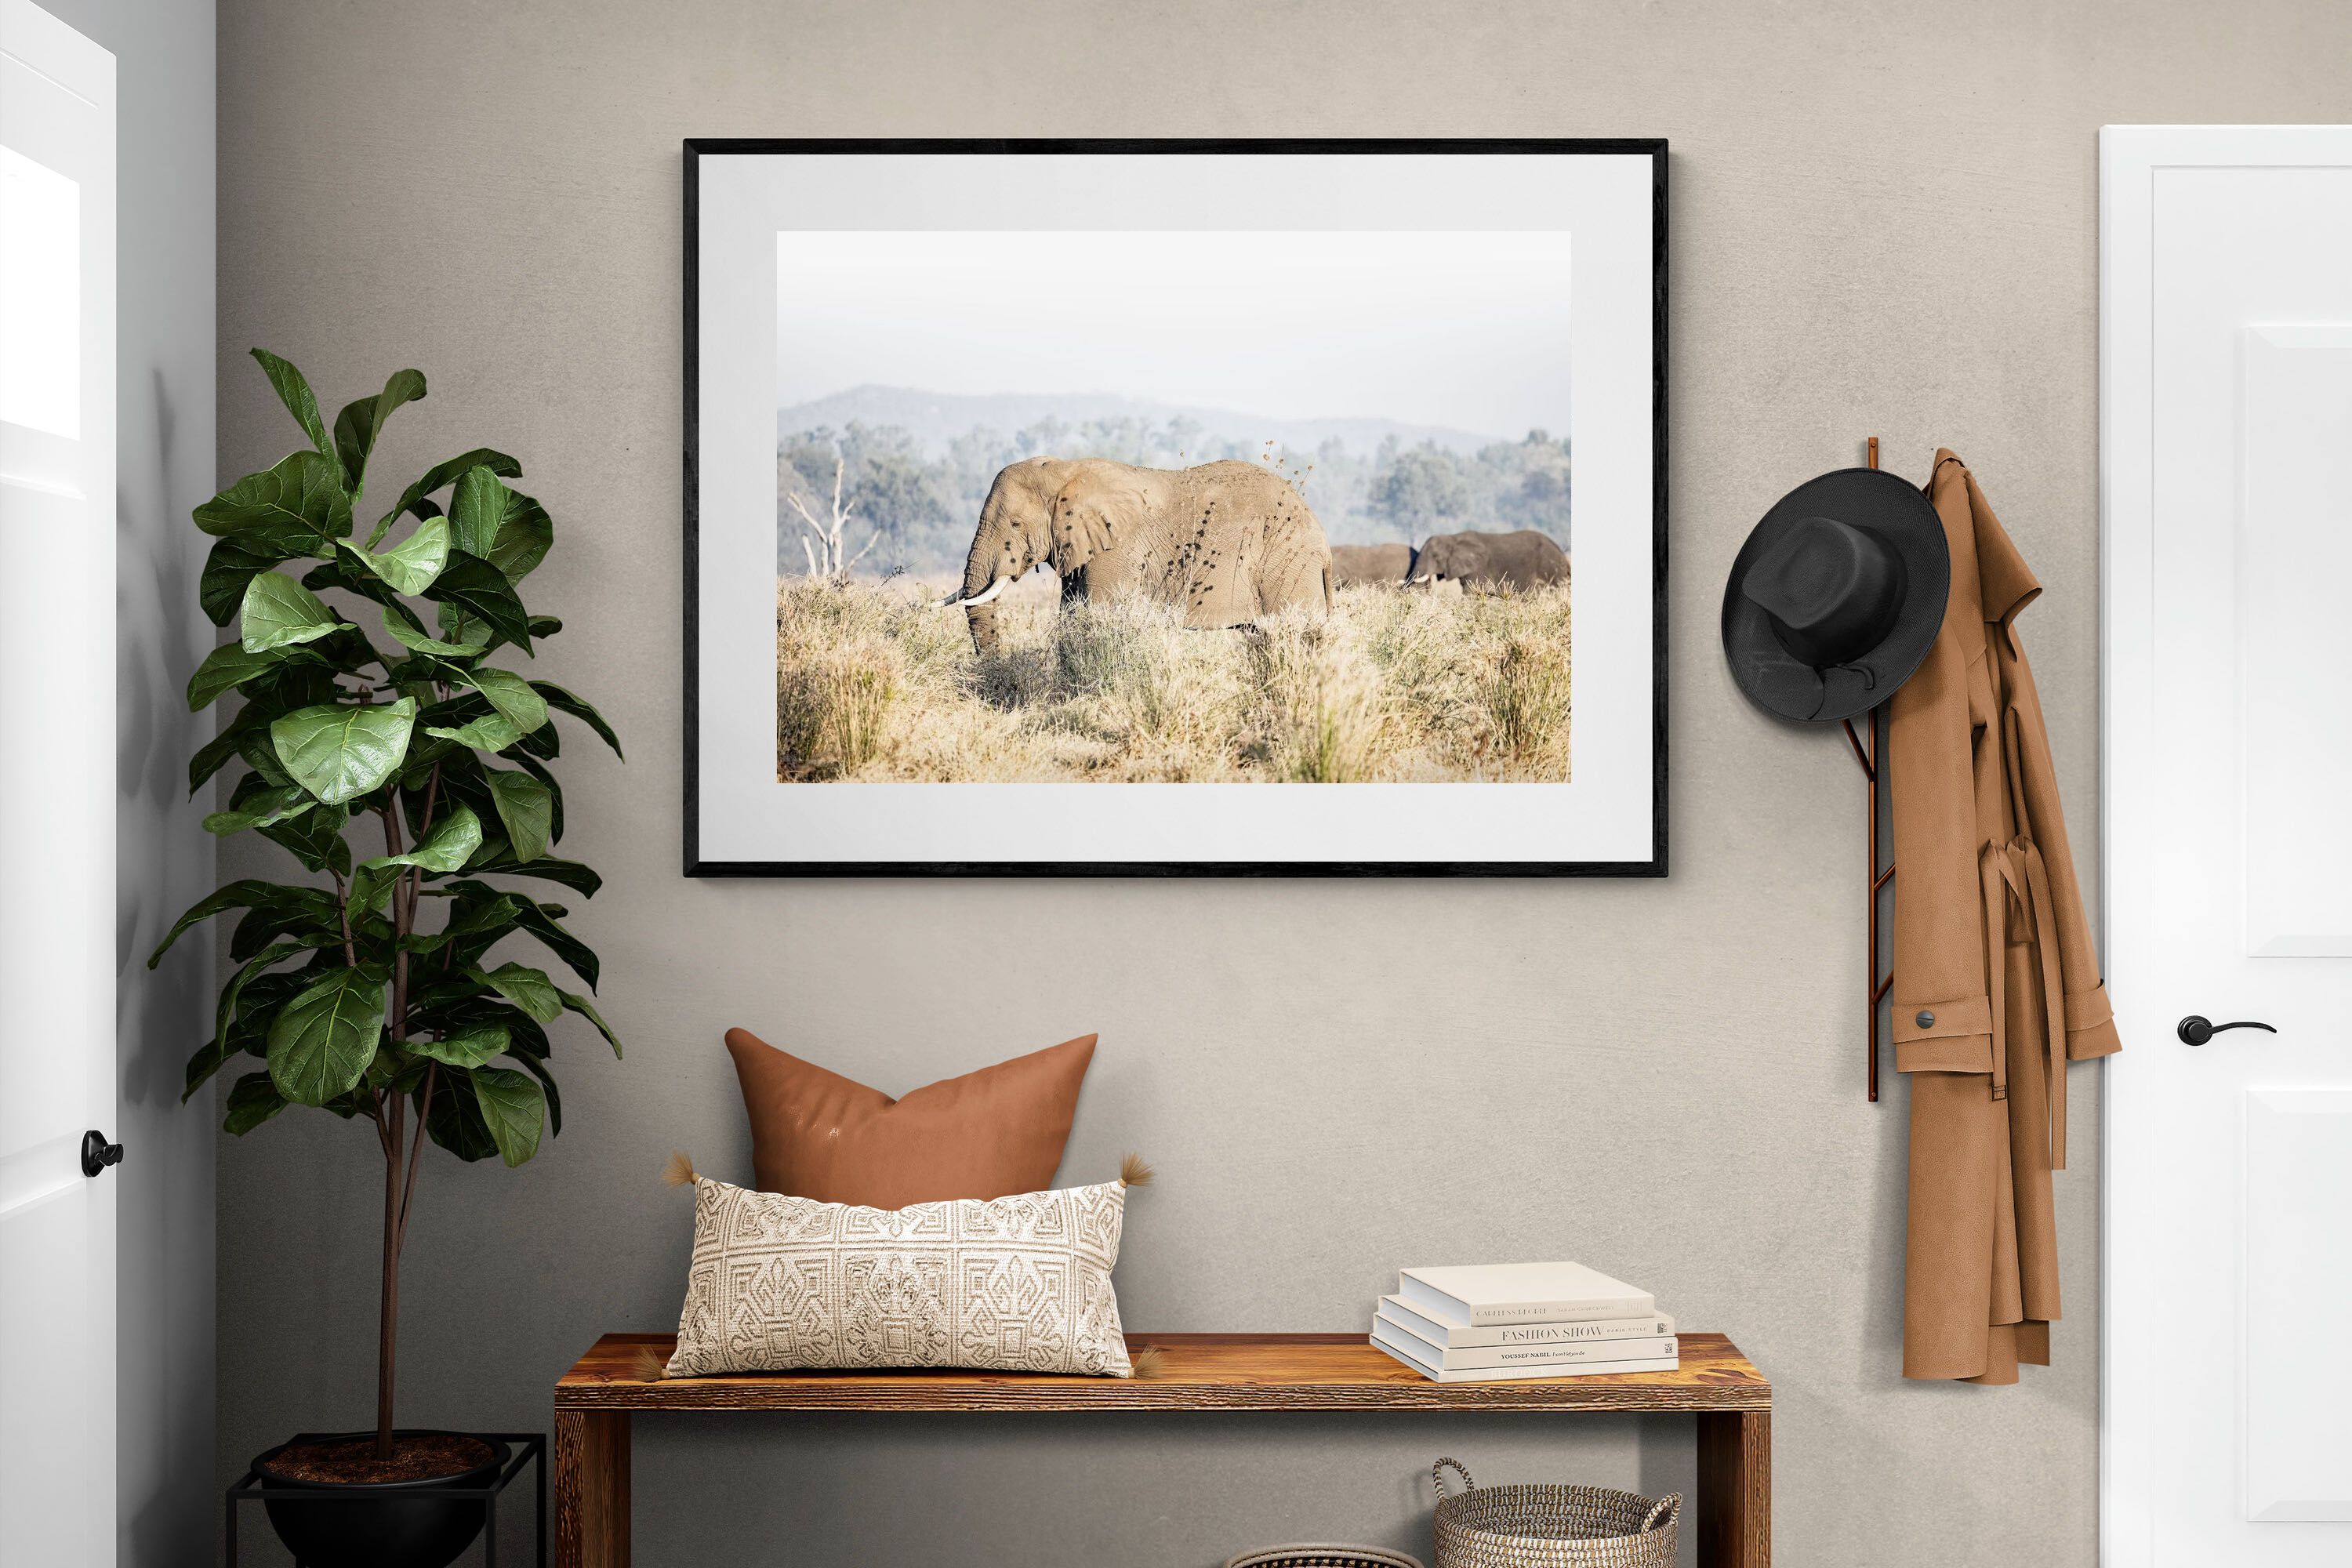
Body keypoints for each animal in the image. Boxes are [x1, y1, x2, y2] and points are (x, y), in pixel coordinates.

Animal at [942, 457, 1332, 652]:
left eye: (1016, 523)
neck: (1065, 469)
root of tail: (1322, 541)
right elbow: (1073, 616)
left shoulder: (1118, 549)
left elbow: (1097, 616)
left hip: (1287, 563)